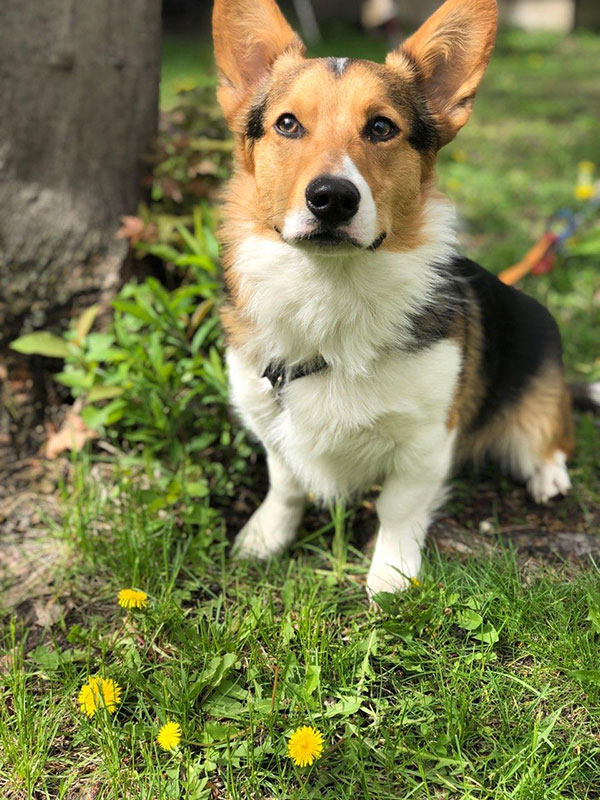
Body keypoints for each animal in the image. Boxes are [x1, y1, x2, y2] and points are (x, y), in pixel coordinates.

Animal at [211, 0, 596, 596]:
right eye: (287, 123)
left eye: (381, 127)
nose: (332, 198)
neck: (332, 288)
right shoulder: (268, 419)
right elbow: (286, 484)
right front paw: (264, 537)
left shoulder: (427, 439)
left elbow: (398, 507)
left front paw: (390, 579)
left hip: (536, 395)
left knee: (550, 438)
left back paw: (549, 476)